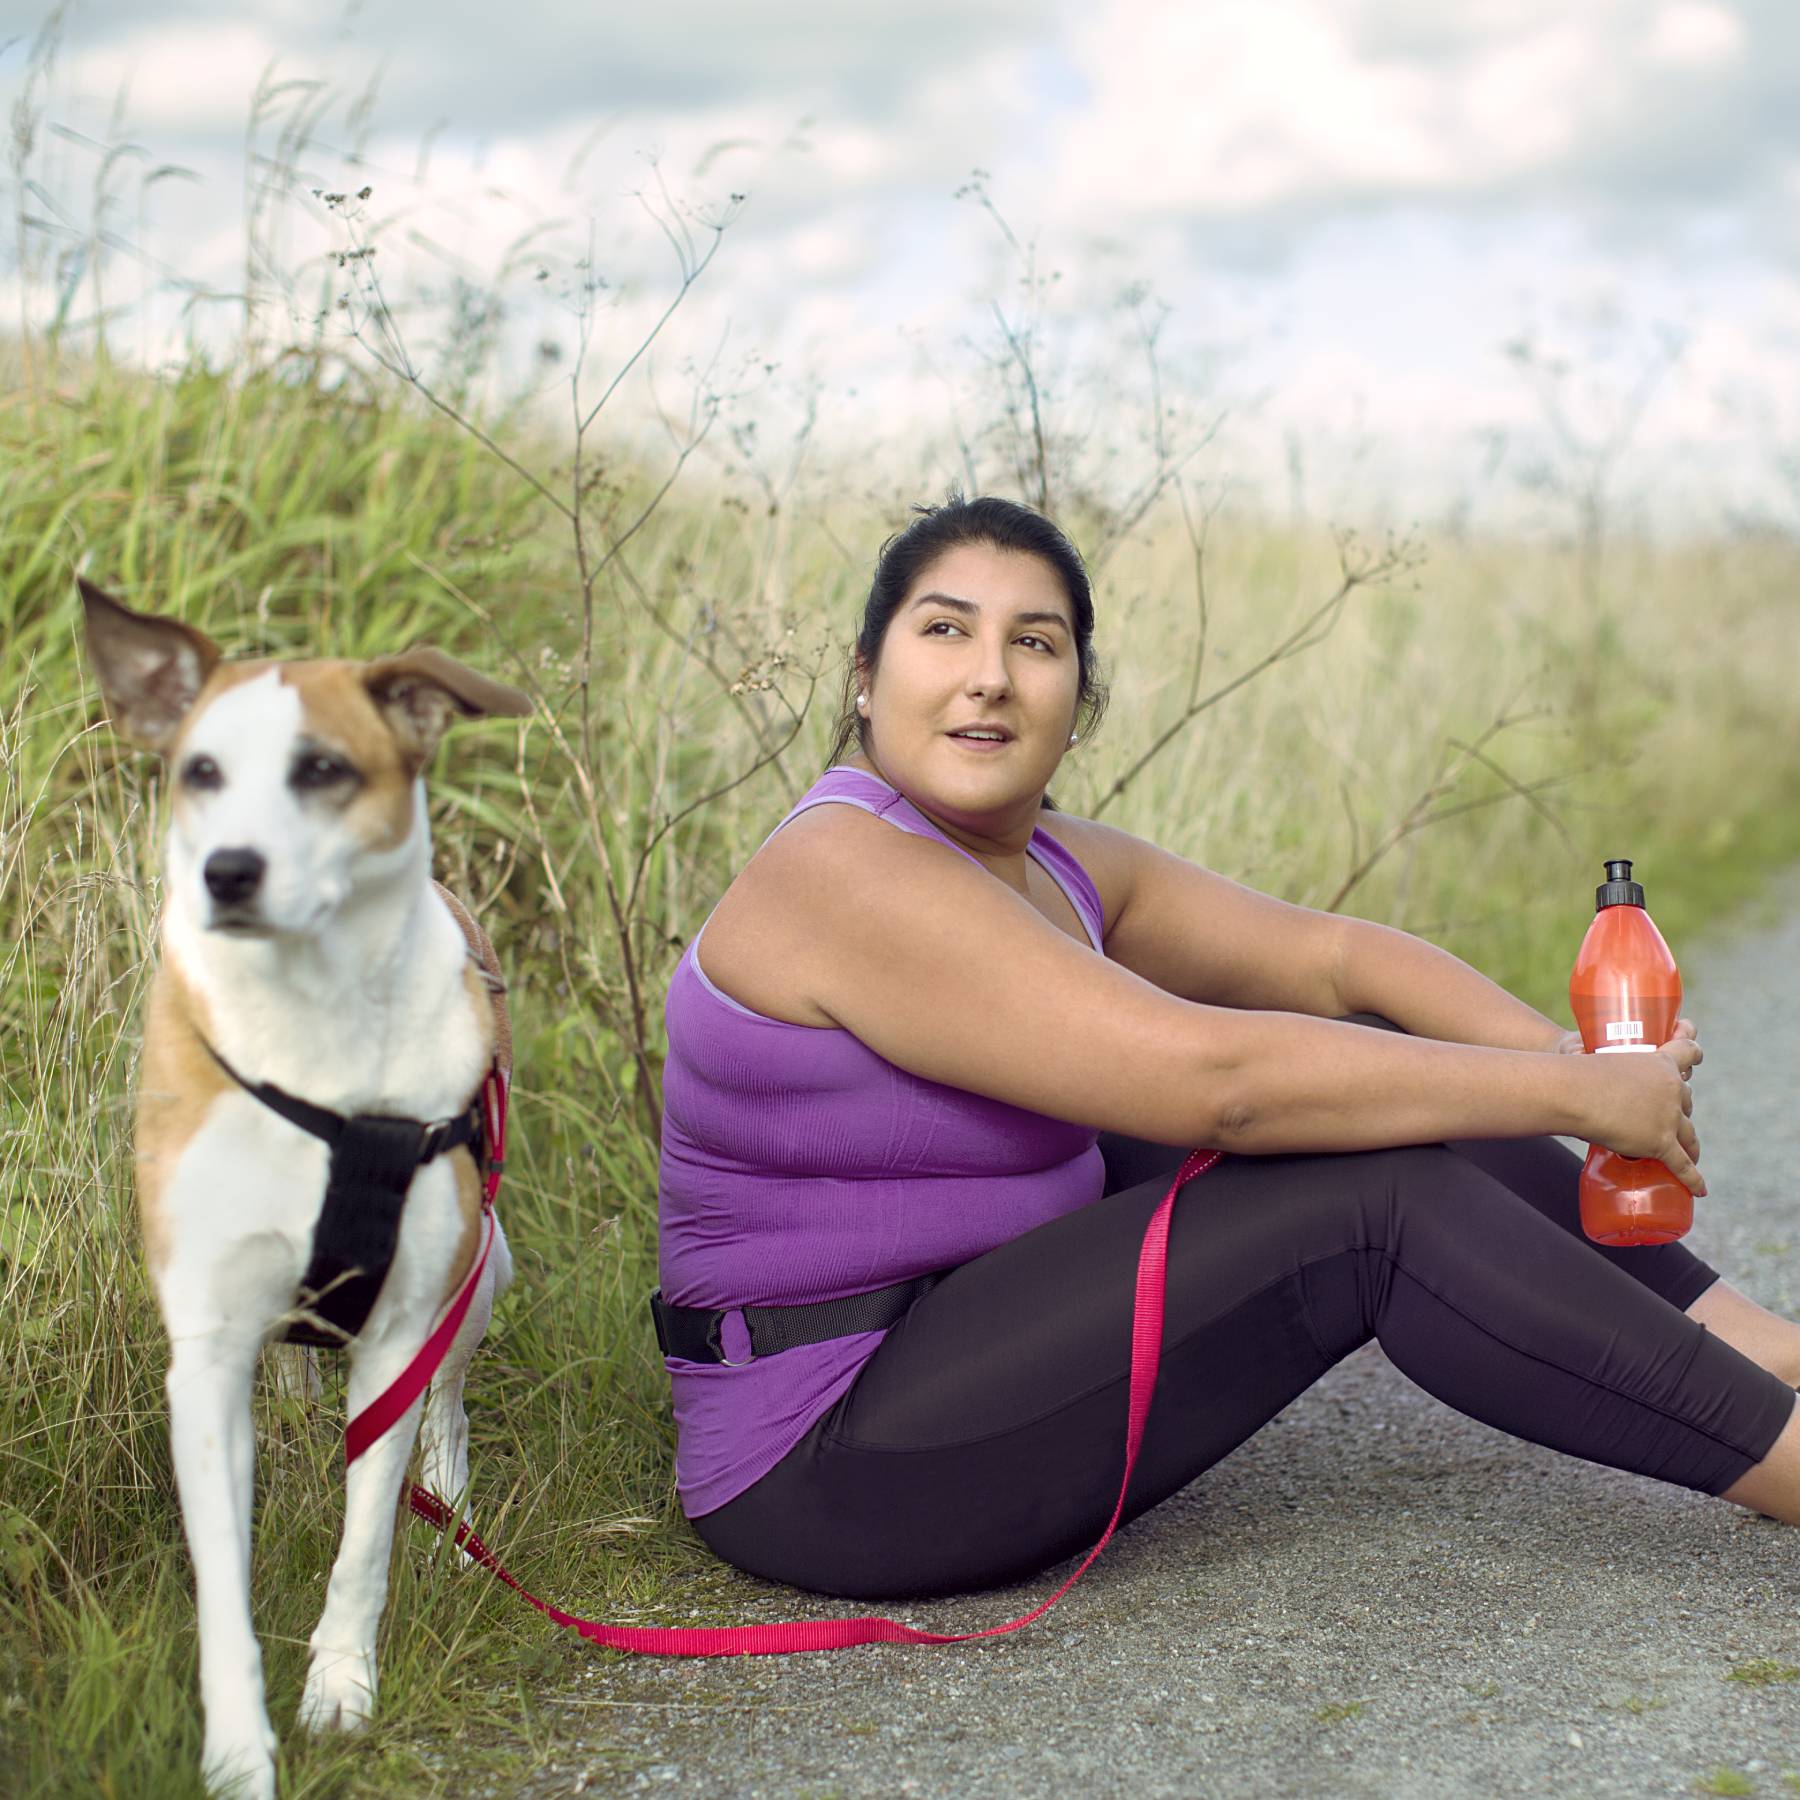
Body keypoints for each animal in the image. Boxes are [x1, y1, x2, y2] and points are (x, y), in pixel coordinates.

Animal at [81, 579, 529, 1800]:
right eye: (199, 771)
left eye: (323, 768)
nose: (228, 871)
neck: (312, 1022)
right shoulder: (208, 1351)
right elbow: (222, 1583)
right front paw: (239, 1751)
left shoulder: (399, 1333)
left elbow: (365, 1540)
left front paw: (340, 1691)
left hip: (481, 1268)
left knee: (447, 1410)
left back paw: (453, 1518)